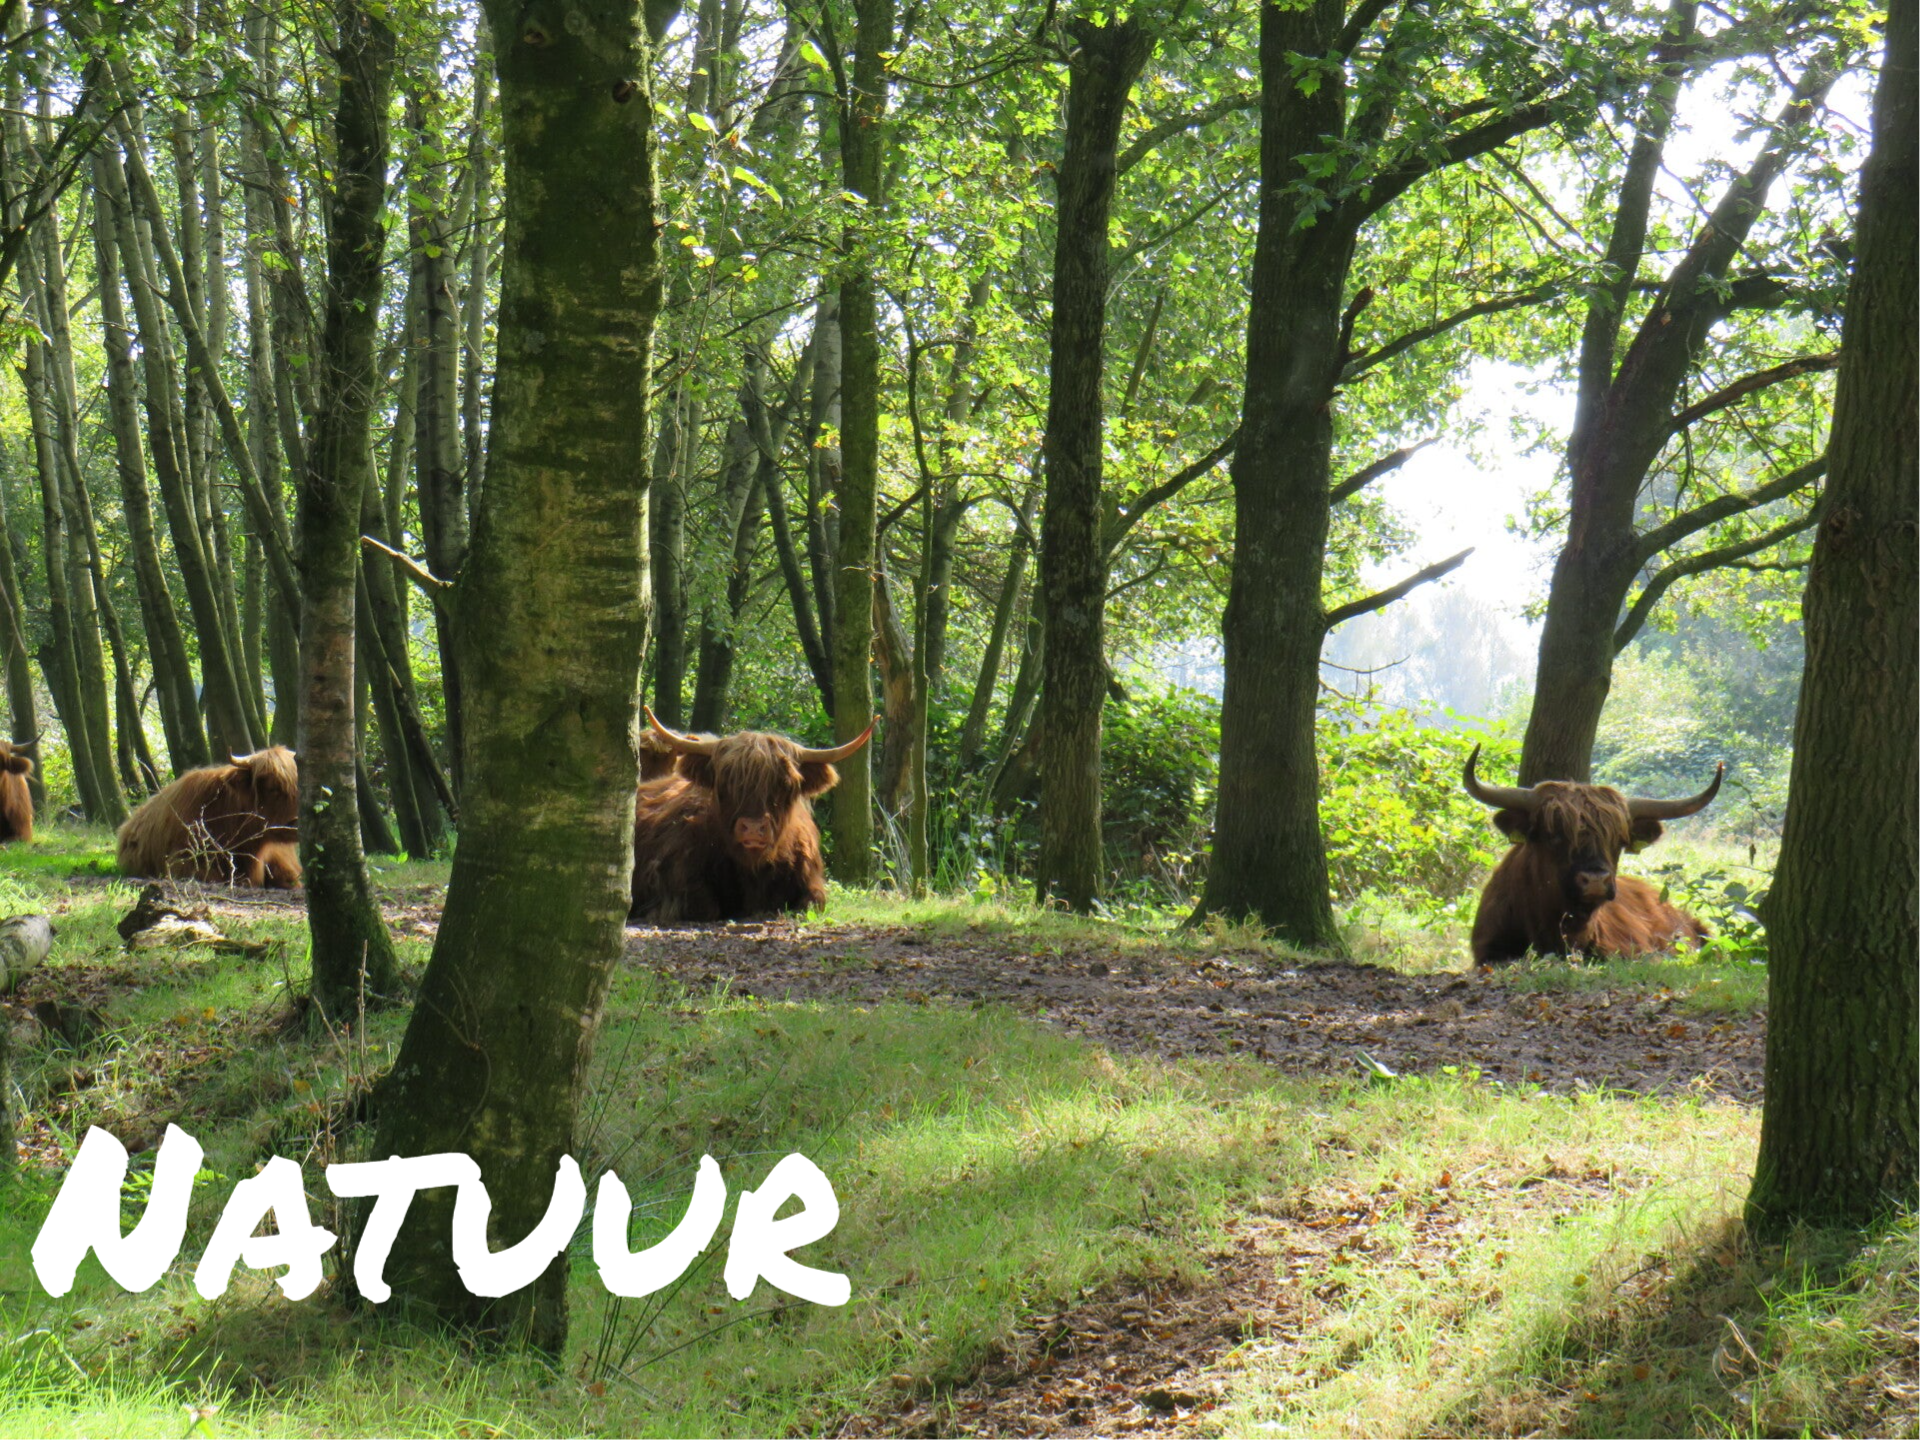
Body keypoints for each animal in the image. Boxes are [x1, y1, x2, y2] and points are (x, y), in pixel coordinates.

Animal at [631, 710, 873, 923]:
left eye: (785, 785)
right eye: (725, 783)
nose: (754, 828)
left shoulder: (811, 882)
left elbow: (813, 902)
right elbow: (705, 906)